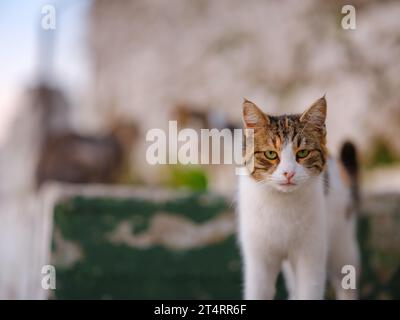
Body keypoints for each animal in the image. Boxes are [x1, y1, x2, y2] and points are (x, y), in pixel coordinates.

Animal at [236, 97, 360, 300]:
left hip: (342, 243)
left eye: (302, 153)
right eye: (271, 154)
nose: (289, 173)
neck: (281, 204)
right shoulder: (258, 258)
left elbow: (309, 290)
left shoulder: (311, 254)